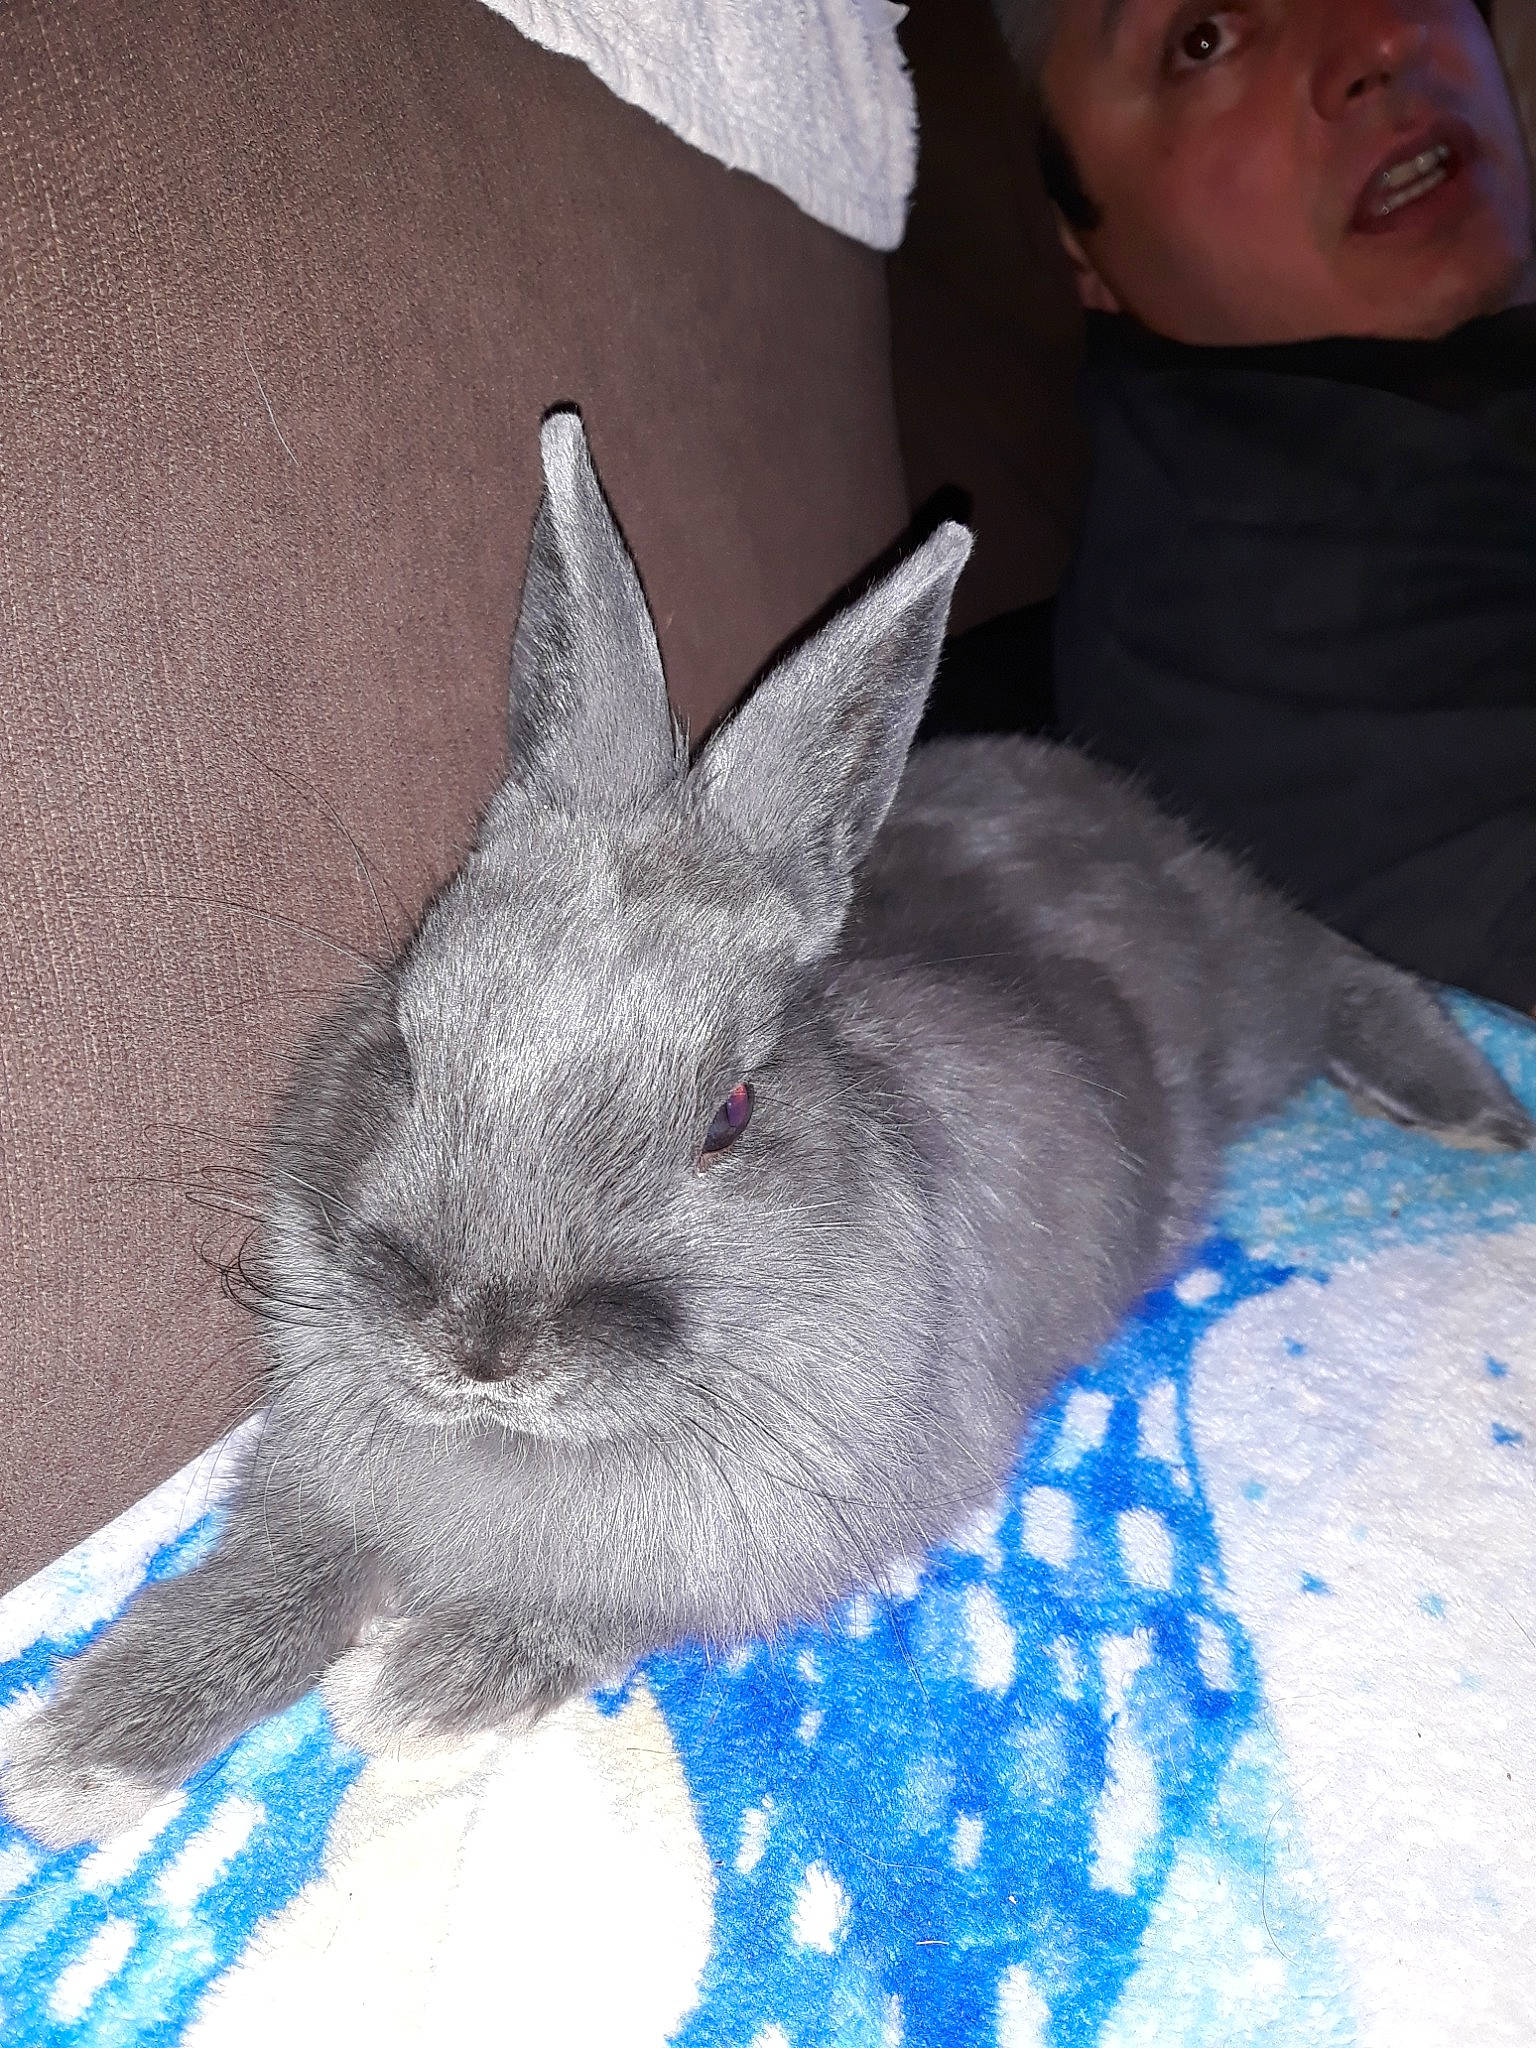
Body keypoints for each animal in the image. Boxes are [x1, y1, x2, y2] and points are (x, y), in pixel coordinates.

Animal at [4, 410, 1530, 1852]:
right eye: (405, 1035)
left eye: (728, 1115)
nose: (480, 1345)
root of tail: (1091, 794)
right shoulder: (318, 1486)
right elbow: (261, 1585)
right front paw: (74, 1757)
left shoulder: (767, 1539)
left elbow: (597, 1605)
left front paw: (412, 1688)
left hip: (1249, 1006)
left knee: (1325, 951)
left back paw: (1469, 1106)